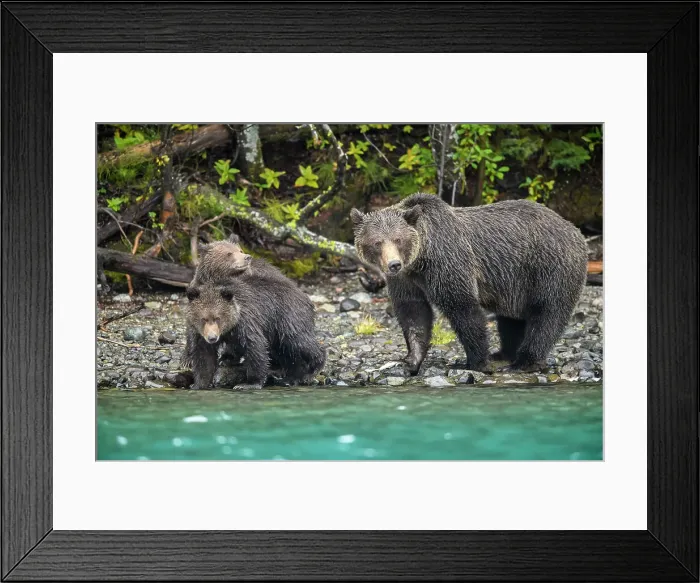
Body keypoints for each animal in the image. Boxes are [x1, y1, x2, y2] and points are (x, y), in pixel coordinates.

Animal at [182, 238, 326, 390]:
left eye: (239, 250)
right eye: (229, 254)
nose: (212, 337)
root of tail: (306, 297)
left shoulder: (247, 321)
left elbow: (255, 347)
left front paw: (249, 383)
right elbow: (203, 355)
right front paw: (198, 383)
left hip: (288, 318)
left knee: (298, 340)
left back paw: (312, 368)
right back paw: (291, 377)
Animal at [350, 193, 588, 374]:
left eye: (398, 239)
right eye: (377, 242)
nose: (393, 264)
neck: (421, 260)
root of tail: (575, 230)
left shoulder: (448, 262)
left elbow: (463, 308)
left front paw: (477, 361)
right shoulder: (406, 280)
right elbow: (413, 312)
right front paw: (411, 360)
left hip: (549, 266)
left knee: (547, 312)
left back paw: (525, 361)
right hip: (515, 282)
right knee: (511, 317)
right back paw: (504, 353)